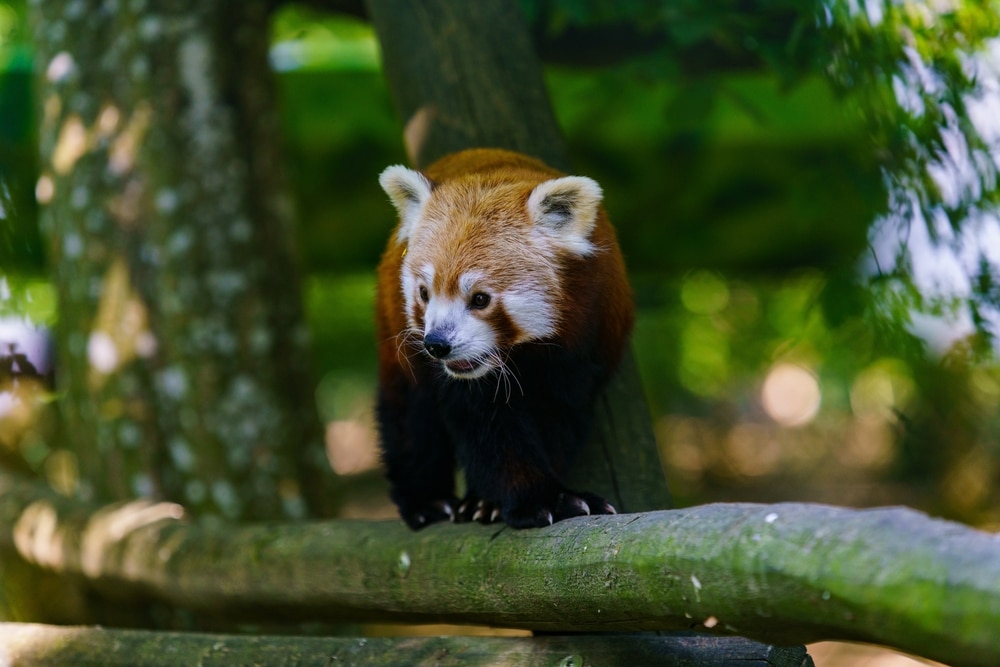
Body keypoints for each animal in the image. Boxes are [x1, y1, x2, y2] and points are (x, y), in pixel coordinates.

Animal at [376, 149, 632, 528]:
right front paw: (540, 499)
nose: (437, 344)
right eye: (424, 293)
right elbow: (487, 427)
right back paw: (428, 501)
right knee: (410, 416)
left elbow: (559, 415)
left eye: (480, 299)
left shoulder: (586, 347)